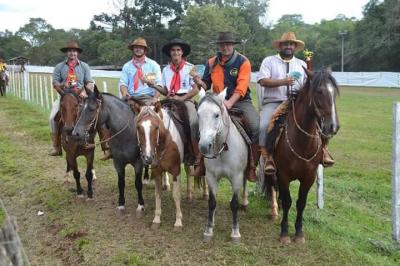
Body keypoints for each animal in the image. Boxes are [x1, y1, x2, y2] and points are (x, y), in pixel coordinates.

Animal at [72, 86, 145, 215]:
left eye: (92, 109)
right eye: (81, 109)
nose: (75, 133)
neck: (127, 135)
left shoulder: (138, 163)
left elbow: (138, 184)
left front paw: (140, 205)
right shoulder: (118, 163)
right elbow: (121, 183)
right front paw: (121, 204)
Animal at [198, 93, 248, 243]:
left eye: (216, 115)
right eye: (198, 114)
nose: (204, 146)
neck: (223, 149)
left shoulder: (237, 177)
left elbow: (235, 204)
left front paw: (235, 232)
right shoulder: (211, 177)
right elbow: (212, 202)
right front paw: (209, 230)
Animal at [268, 68, 340, 243]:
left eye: (334, 93)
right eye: (319, 91)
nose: (333, 127)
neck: (302, 142)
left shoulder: (309, 177)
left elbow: (301, 202)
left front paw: (299, 233)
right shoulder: (283, 175)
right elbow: (288, 201)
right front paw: (284, 233)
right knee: (272, 186)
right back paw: (274, 211)